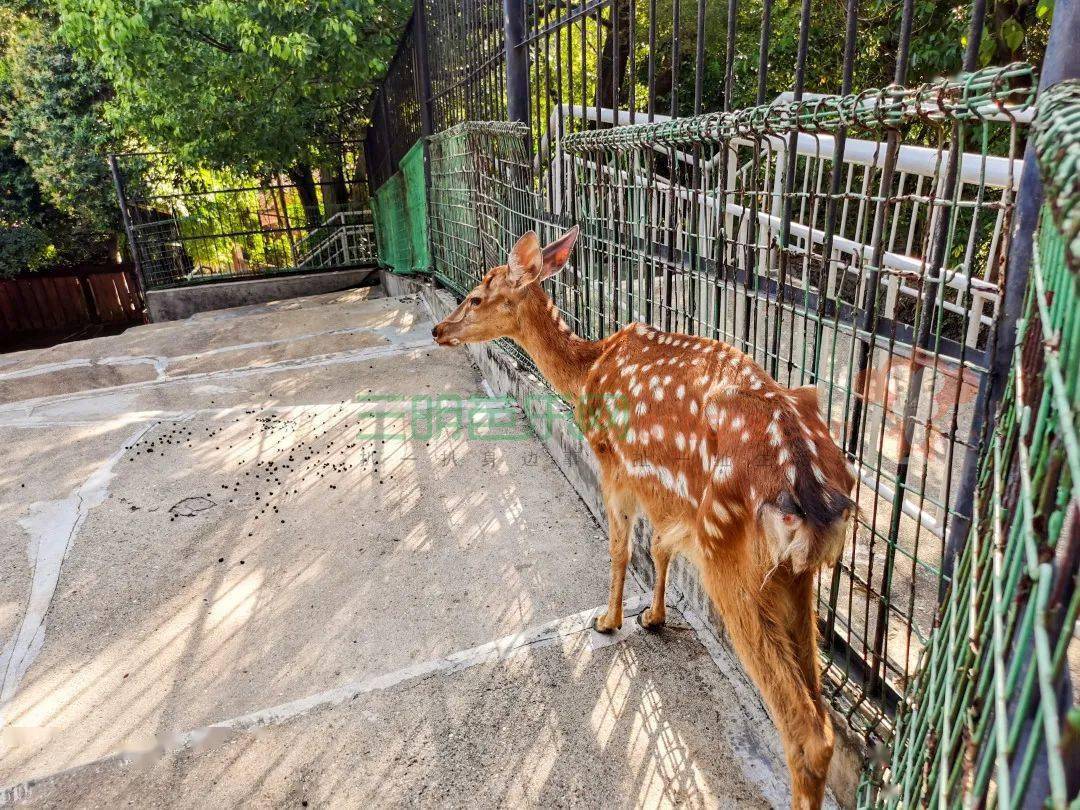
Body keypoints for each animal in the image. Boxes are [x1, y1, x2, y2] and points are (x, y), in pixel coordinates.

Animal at [434, 225, 855, 807]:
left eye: (476, 296)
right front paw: (653, 617)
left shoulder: (614, 462)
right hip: (796, 576)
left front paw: (608, 620)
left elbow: (619, 549)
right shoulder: (667, 494)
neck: (587, 372)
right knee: (826, 720)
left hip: (729, 555)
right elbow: (658, 549)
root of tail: (814, 492)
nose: (438, 329)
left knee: (805, 730)